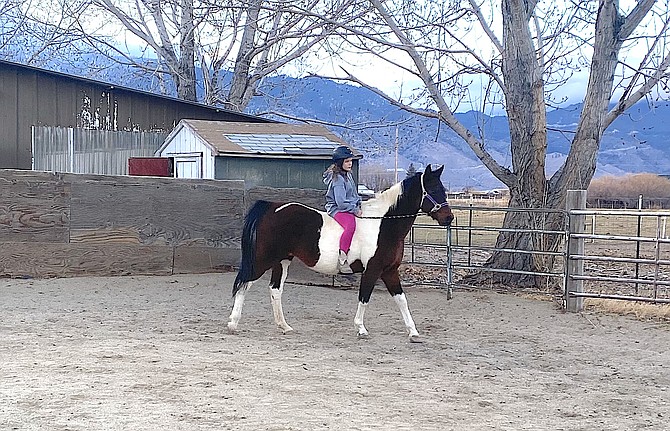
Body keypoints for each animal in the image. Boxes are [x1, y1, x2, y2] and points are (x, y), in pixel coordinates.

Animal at [227, 164, 456, 342]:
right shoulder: (373, 270)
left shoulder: (390, 271)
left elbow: (402, 300)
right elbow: (364, 297)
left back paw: (284, 326)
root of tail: (271, 207)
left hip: (282, 260)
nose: (449, 218)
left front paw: (413, 332)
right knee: (244, 283)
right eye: (433, 188)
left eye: (443, 188)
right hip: (263, 259)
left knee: (275, 290)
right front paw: (361, 328)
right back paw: (233, 323)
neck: (383, 225)